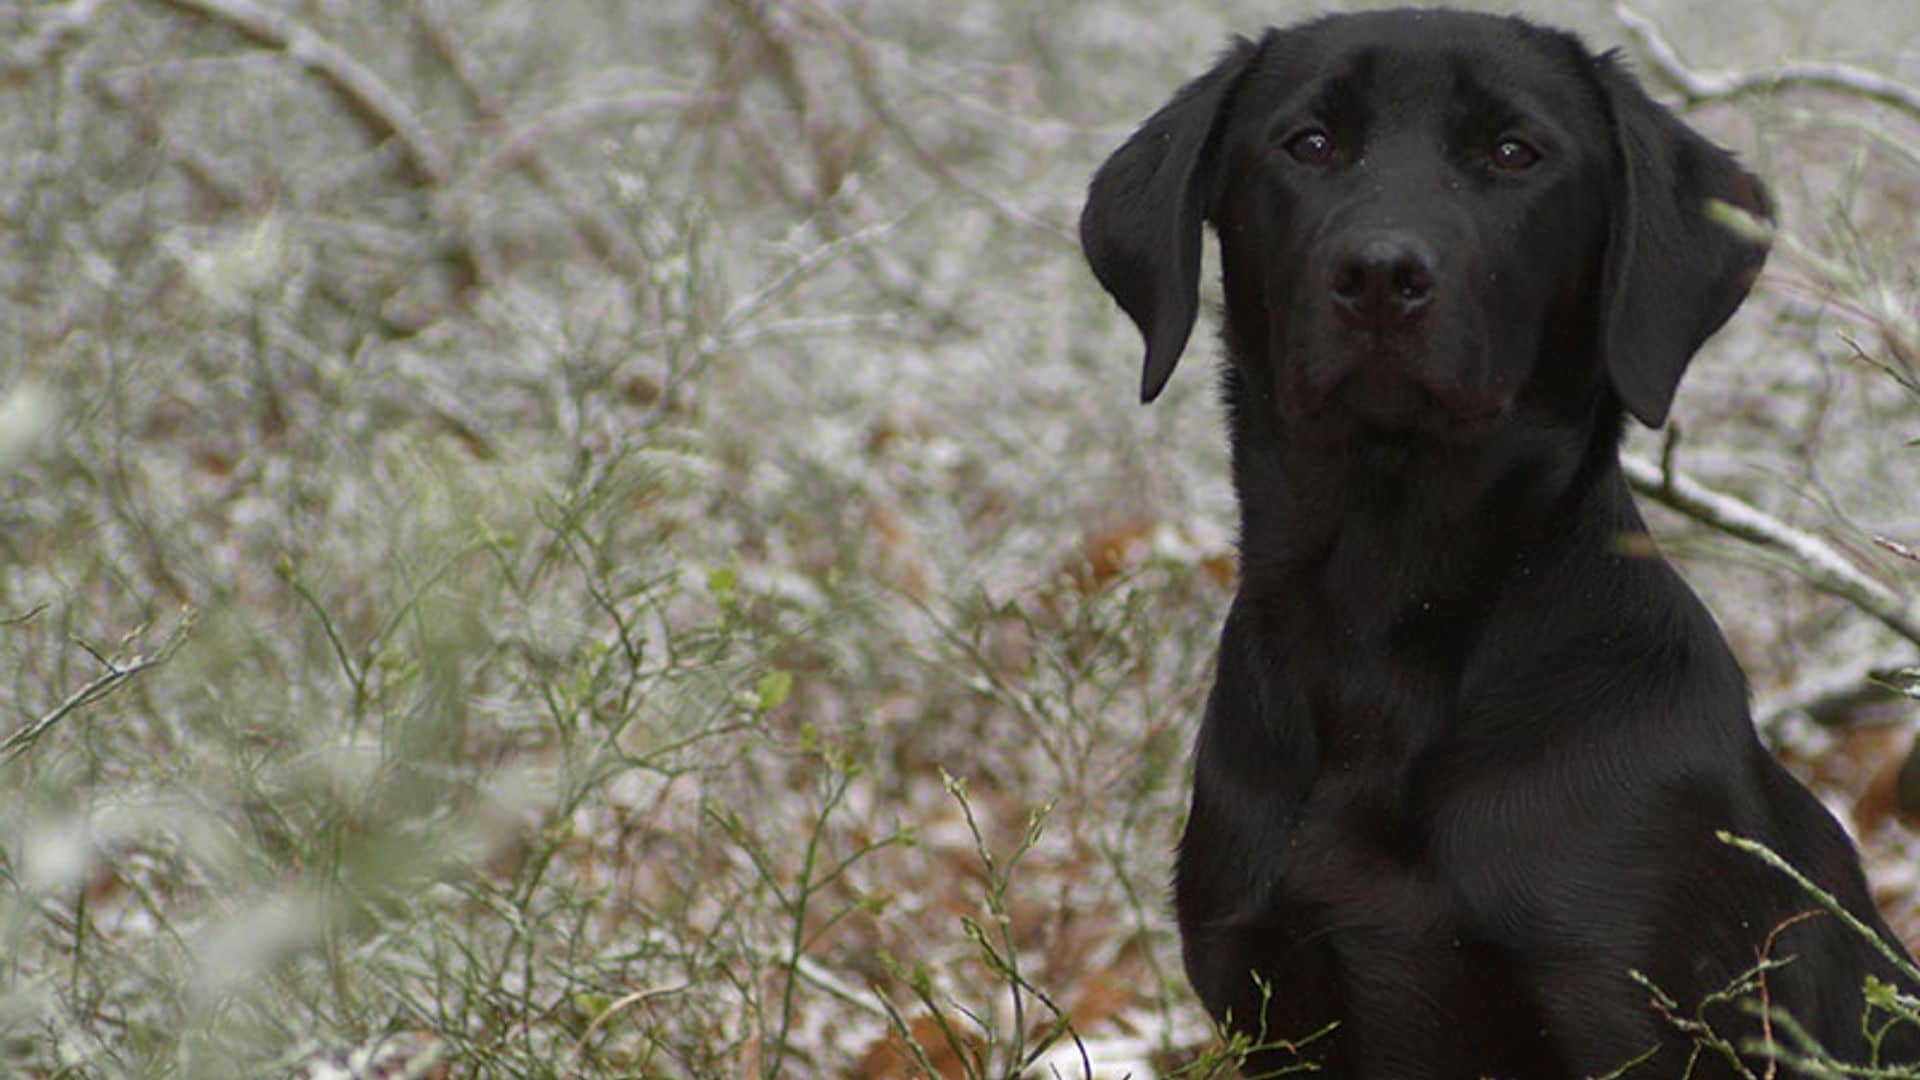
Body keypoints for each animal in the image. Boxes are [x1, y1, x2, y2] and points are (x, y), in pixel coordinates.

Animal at [1082, 8, 1920, 1076]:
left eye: (1514, 153)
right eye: (1308, 143)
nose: (1381, 274)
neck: (1389, 611)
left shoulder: (1625, 1012)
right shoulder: (1272, 1012)